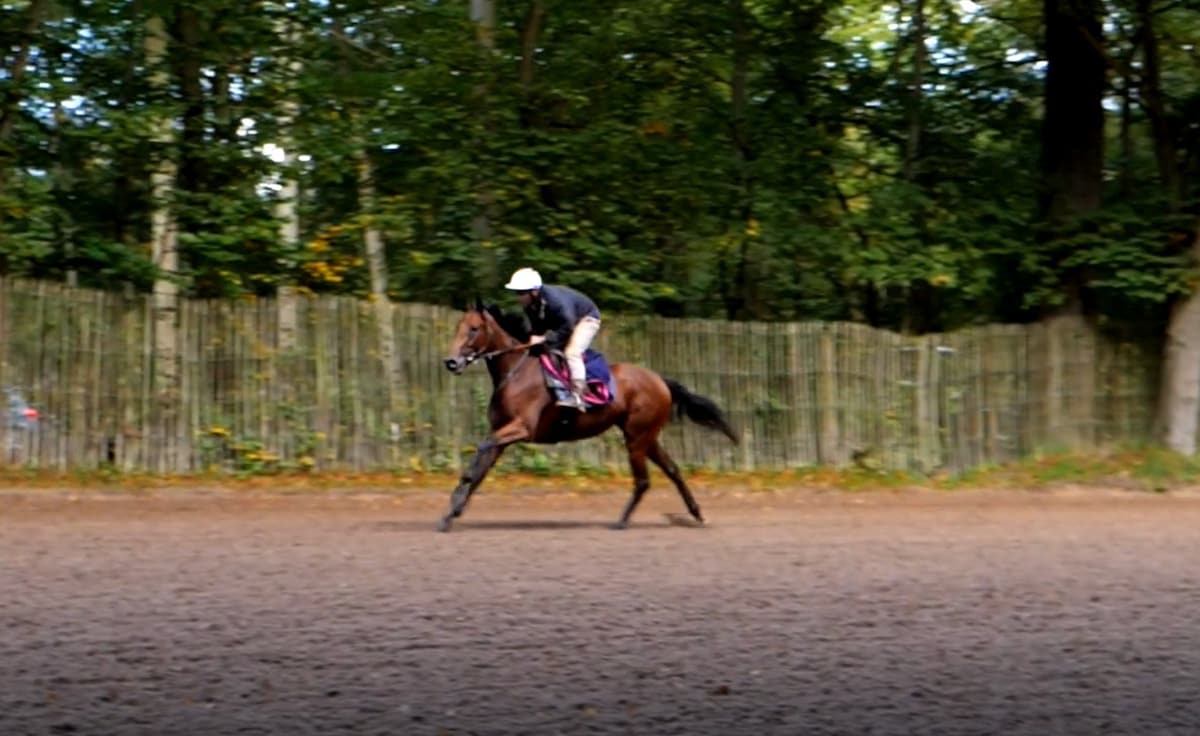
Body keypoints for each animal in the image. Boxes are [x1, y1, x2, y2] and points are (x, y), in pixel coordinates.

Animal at [441, 298, 739, 533]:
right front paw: (451, 513)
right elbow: (481, 469)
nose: (451, 362)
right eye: (458, 327)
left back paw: (622, 521)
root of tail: (661, 381)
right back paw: (696, 513)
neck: (516, 372)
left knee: (643, 480)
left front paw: (456, 498)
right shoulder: (502, 434)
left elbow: (480, 452)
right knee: (673, 471)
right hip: (646, 436)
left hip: (636, 438)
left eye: (474, 328)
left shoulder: (521, 428)